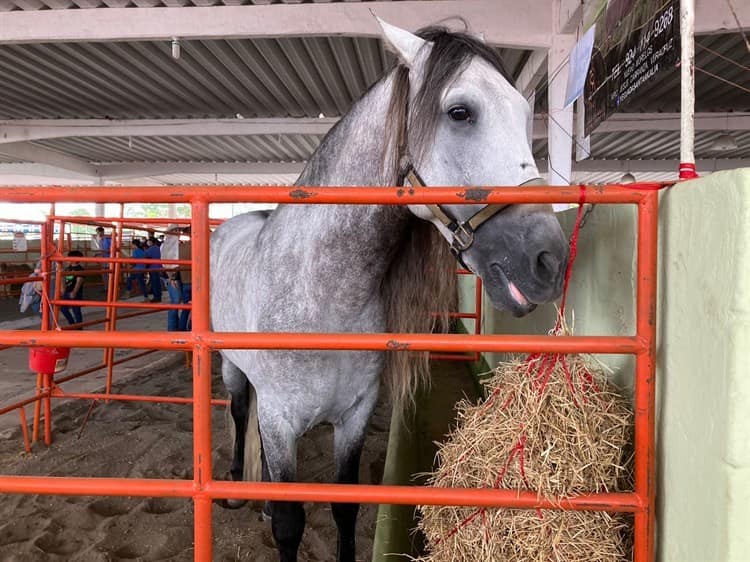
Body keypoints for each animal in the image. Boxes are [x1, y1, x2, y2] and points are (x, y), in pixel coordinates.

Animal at [212, 19, 568, 560]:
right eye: (459, 112)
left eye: (526, 115)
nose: (549, 260)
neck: (321, 297)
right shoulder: (278, 419)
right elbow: (291, 526)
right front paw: (275, 512)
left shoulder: (355, 417)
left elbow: (344, 508)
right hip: (232, 370)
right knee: (237, 414)